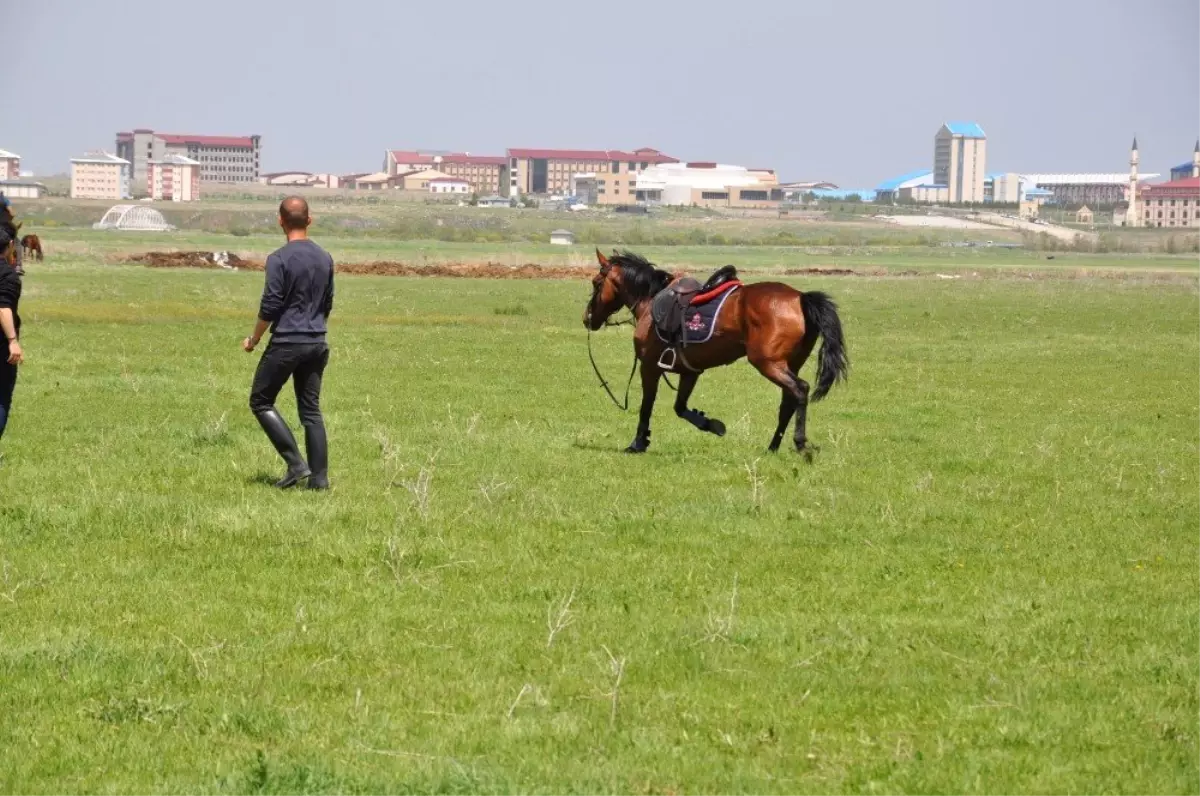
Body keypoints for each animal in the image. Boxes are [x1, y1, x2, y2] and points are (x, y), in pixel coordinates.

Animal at [578, 252, 844, 458]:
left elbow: (647, 406)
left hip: (768, 363)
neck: (651, 301)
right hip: (789, 363)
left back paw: (799, 443)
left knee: (800, 390)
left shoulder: (650, 368)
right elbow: (680, 407)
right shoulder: (689, 372)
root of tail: (800, 298)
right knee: (788, 401)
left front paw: (638, 443)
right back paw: (773, 447)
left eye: (596, 282)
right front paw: (712, 425)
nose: (587, 318)